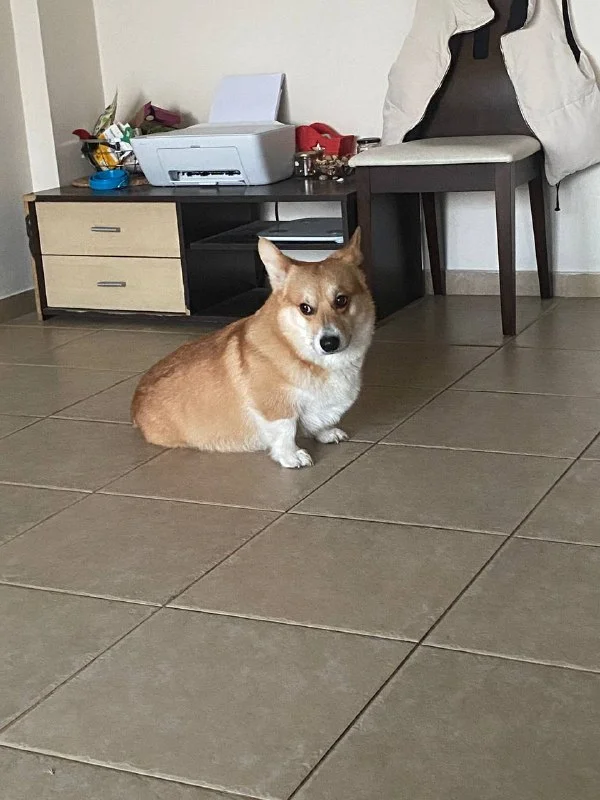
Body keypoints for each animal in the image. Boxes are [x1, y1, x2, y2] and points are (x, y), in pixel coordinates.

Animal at [131, 228, 375, 468]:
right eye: (305, 308)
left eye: (341, 300)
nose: (329, 342)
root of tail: (135, 406)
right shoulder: (275, 406)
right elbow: (285, 430)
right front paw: (292, 456)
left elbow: (318, 422)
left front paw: (326, 432)